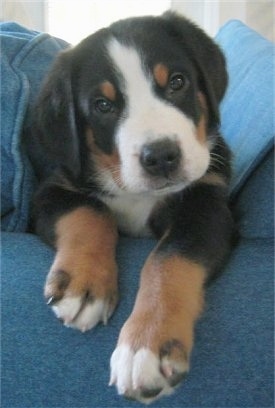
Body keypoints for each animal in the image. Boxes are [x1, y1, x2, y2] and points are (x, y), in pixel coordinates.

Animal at [26, 11, 235, 404]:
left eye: (177, 82)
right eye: (103, 105)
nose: (161, 156)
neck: (136, 193)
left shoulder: (207, 204)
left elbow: (167, 261)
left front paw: (146, 345)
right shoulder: (53, 190)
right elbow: (90, 213)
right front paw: (84, 284)